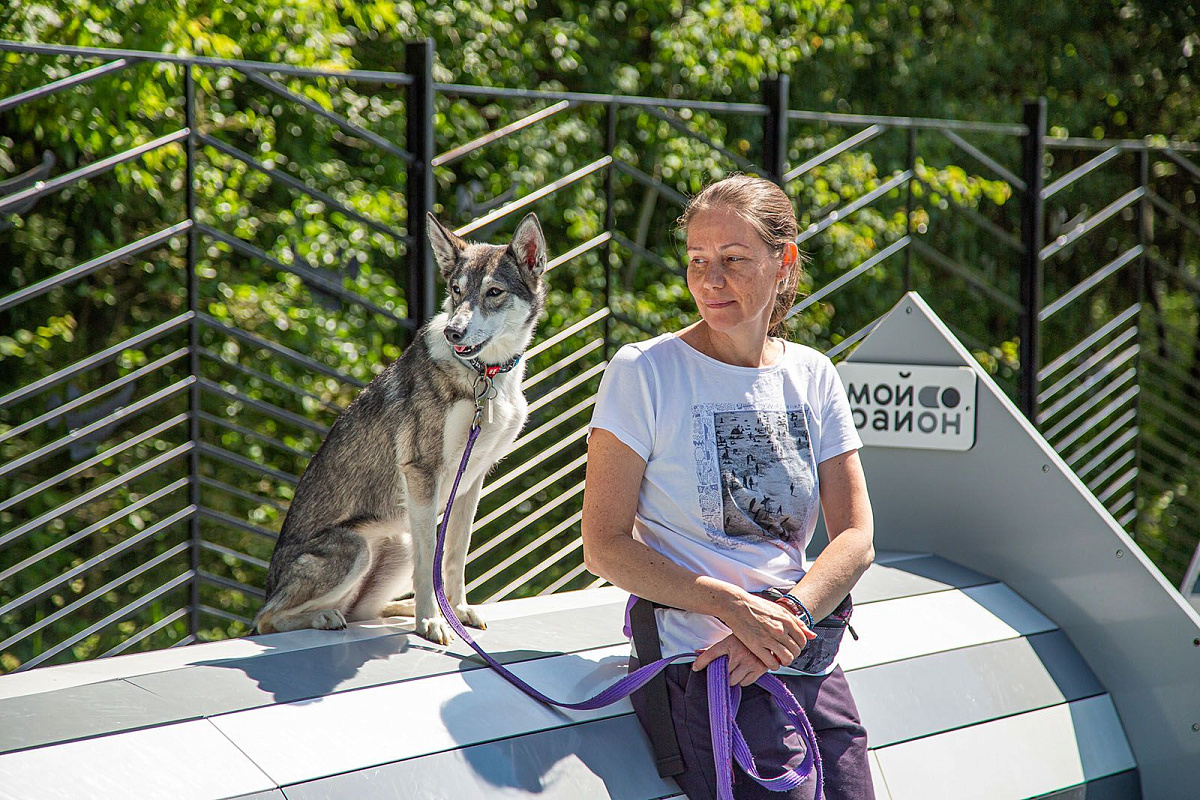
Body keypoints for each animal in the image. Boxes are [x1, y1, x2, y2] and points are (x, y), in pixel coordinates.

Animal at [258, 211, 552, 642]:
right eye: (456, 290)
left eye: (494, 292)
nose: (453, 331)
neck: (485, 376)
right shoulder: (422, 473)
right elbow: (433, 560)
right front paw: (432, 621)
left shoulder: (472, 481)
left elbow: (454, 558)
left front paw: (457, 611)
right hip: (357, 547)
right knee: (267, 618)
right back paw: (327, 617)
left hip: (400, 541)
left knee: (365, 610)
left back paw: (400, 611)